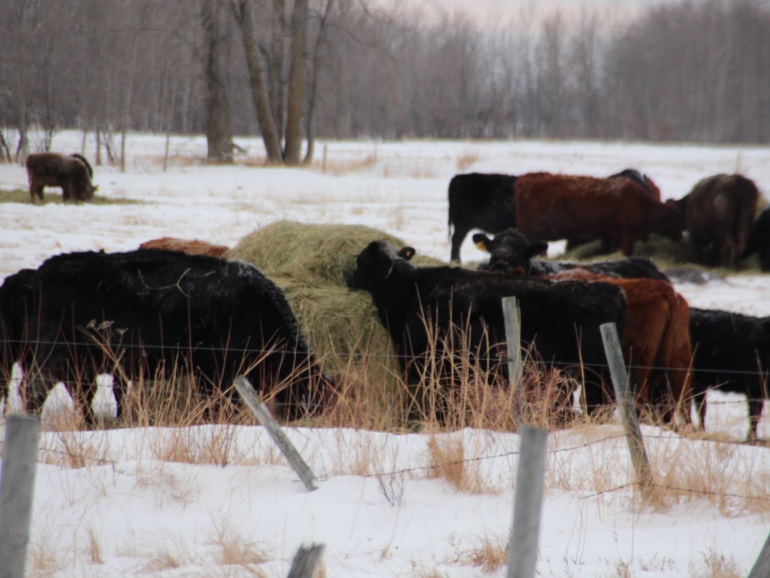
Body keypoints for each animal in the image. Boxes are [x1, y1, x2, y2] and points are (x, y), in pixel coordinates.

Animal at [0, 249, 330, 424]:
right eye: (311, 392)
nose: (317, 419)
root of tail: (35, 274)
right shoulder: (219, 373)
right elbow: (220, 405)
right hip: (53, 357)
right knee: (34, 390)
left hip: (81, 364)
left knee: (81, 394)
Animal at [347, 240, 628, 420]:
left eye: (360, 261)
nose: (348, 279)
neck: (410, 291)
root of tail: (613, 290)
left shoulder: (424, 366)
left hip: (596, 373)